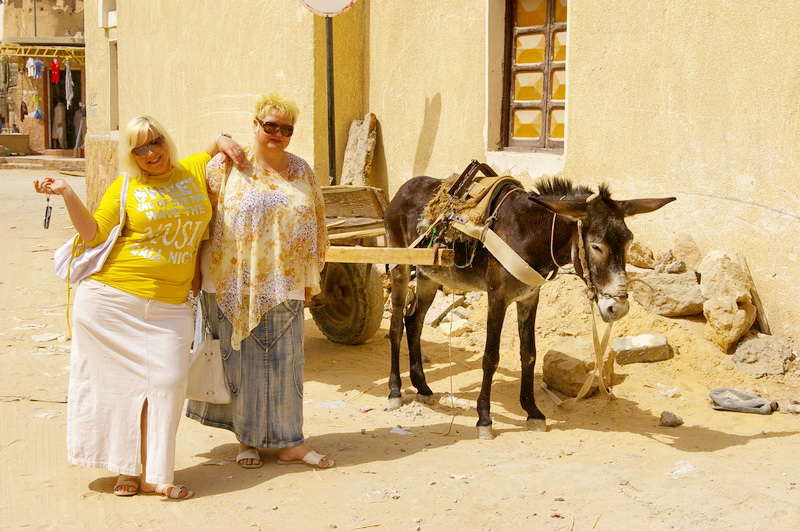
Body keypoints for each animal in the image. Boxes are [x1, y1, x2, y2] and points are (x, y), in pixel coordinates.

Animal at [384, 174, 675, 439]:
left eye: (628, 242)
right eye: (596, 246)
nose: (619, 308)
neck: (527, 234)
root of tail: (405, 186)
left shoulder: (529, 297)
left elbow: (529, 354)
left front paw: (533, 412)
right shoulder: (497, 297)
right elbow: (490, 357)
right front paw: (484, 418)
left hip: (429, 275)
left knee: (414, 321)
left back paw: (422, 387)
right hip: (401, 266)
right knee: (397, 324)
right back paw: (395, 390)